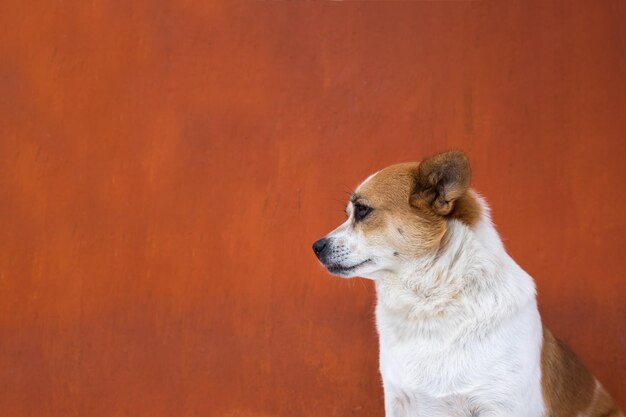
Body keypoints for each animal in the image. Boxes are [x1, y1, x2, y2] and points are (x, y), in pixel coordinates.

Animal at [312, 151, 620, 416]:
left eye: (363, 211)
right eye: (348, 213)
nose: (316, 247)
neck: (429, 303)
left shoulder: (501, 405)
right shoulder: (399, 400)